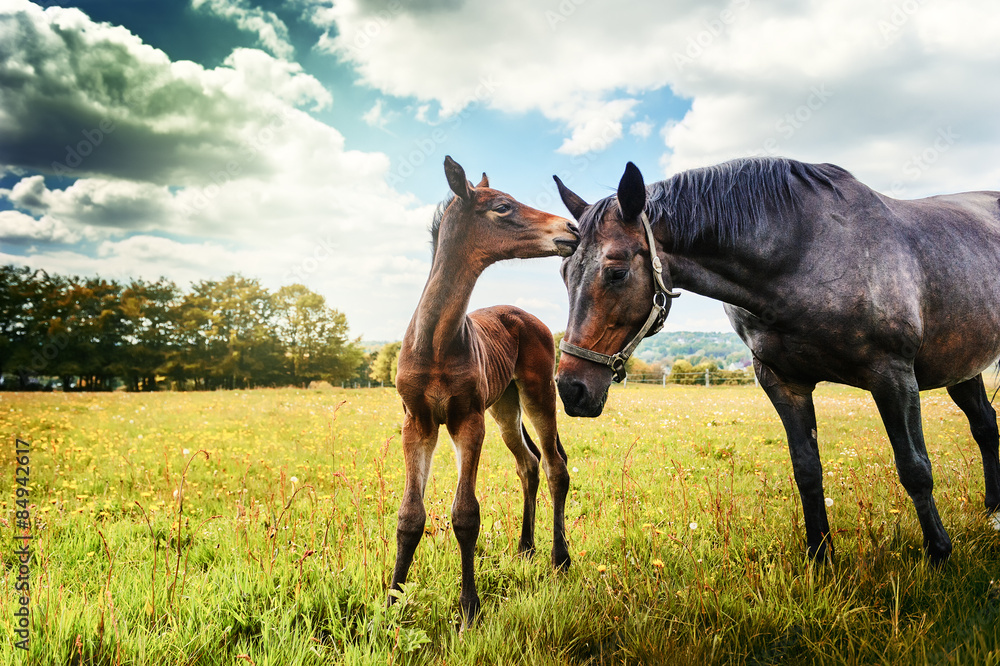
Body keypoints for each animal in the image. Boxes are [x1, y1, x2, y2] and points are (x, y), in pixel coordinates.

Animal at [390, 156, 580, 624]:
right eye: (502, 207)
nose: (571, 229)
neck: (436, 342)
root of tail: (523, 314)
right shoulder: (417, 423)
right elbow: (409, 516)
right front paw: (391, 605)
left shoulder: (467, 421)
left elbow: (465, 515)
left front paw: (469, 609)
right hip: (505, 408)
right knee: (528, 464)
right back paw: (526, 547)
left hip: (537, 394)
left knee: (555, 466)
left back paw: (559, 558)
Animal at [556, 158, 1000, 564]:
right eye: (564, 272)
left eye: (616, 272)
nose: (570, 388)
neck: (807, 254)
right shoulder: (783, 381)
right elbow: (807, 470)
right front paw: (820, 558)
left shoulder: (893, 376)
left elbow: (914, 467)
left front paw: (939, 555)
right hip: (962, 367)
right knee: (984, 424)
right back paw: (993, 512)